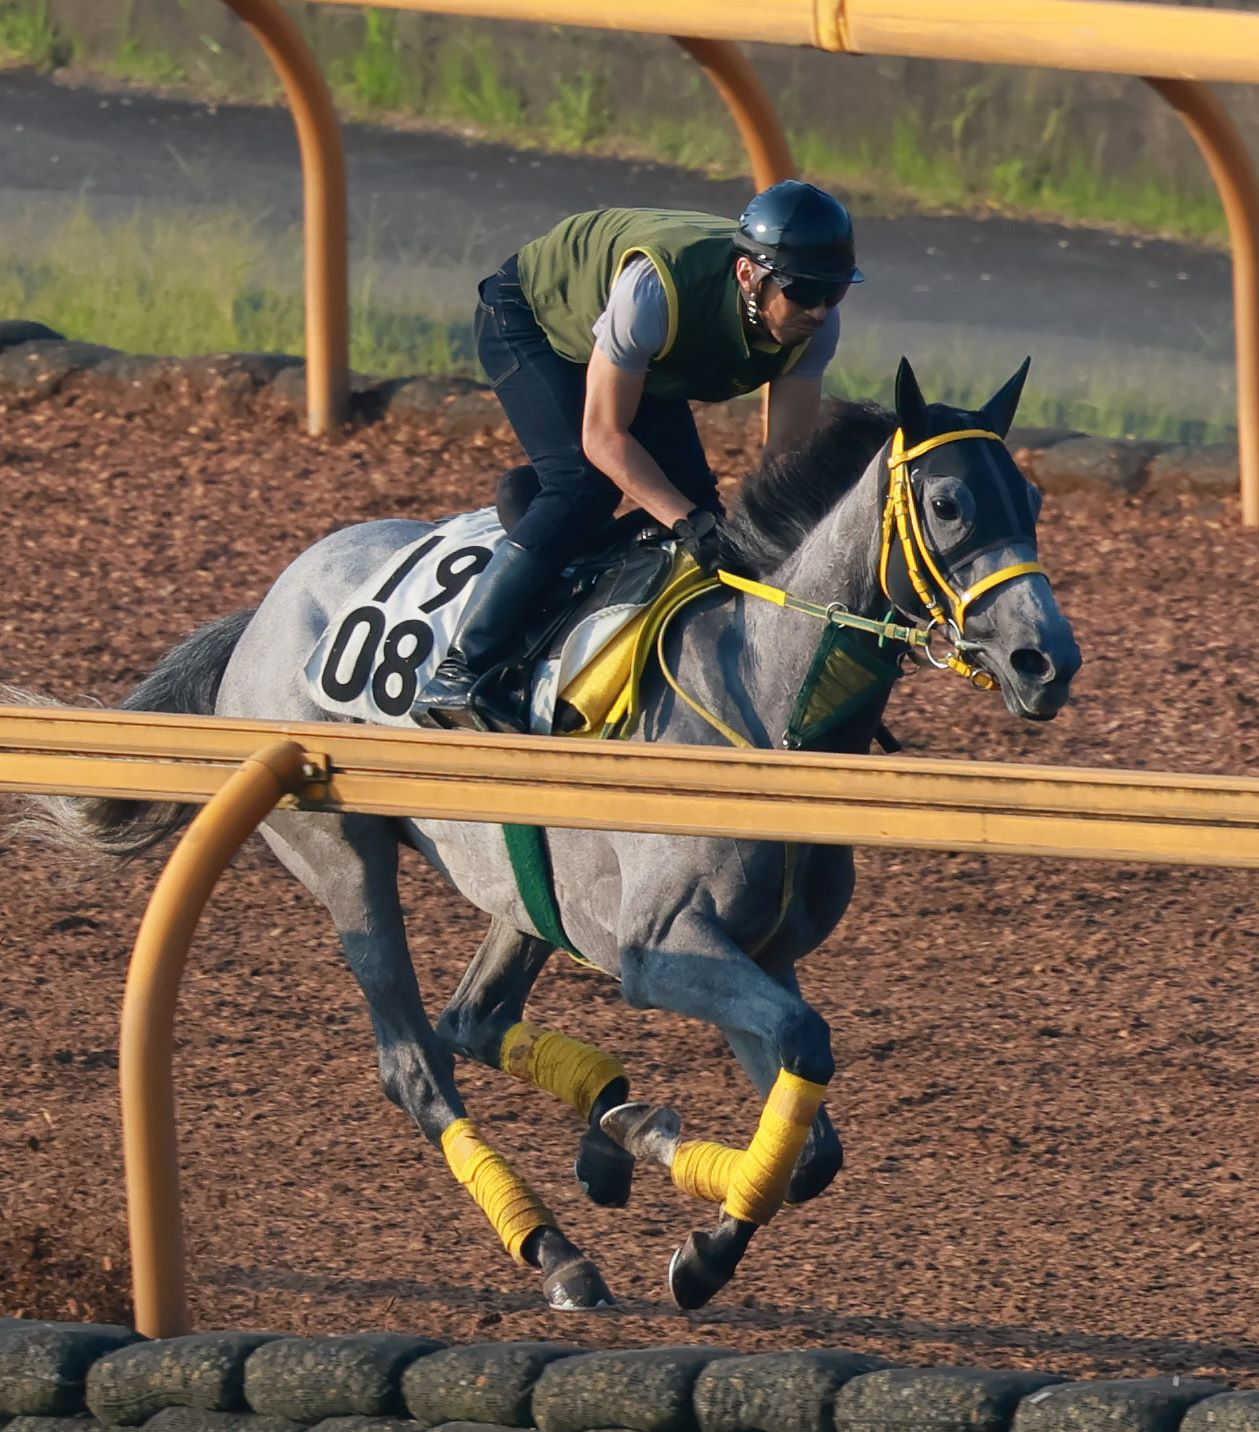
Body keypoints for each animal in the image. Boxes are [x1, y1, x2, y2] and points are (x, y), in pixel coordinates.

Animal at [9, 355, 1082, 1311]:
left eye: (1029, 495)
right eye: (947, 503)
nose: (1048, 661)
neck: (763, 701)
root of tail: (271, 603)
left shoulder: (762, 952)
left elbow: (811, 1139)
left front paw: (671, 1178)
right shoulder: (662, 949)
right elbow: (805, 1058)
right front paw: (703, 1252)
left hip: (522, 889)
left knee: (471, 1019)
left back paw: (617, 1127)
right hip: (346, 861)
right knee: (416, 1063)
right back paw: (556, 1249)